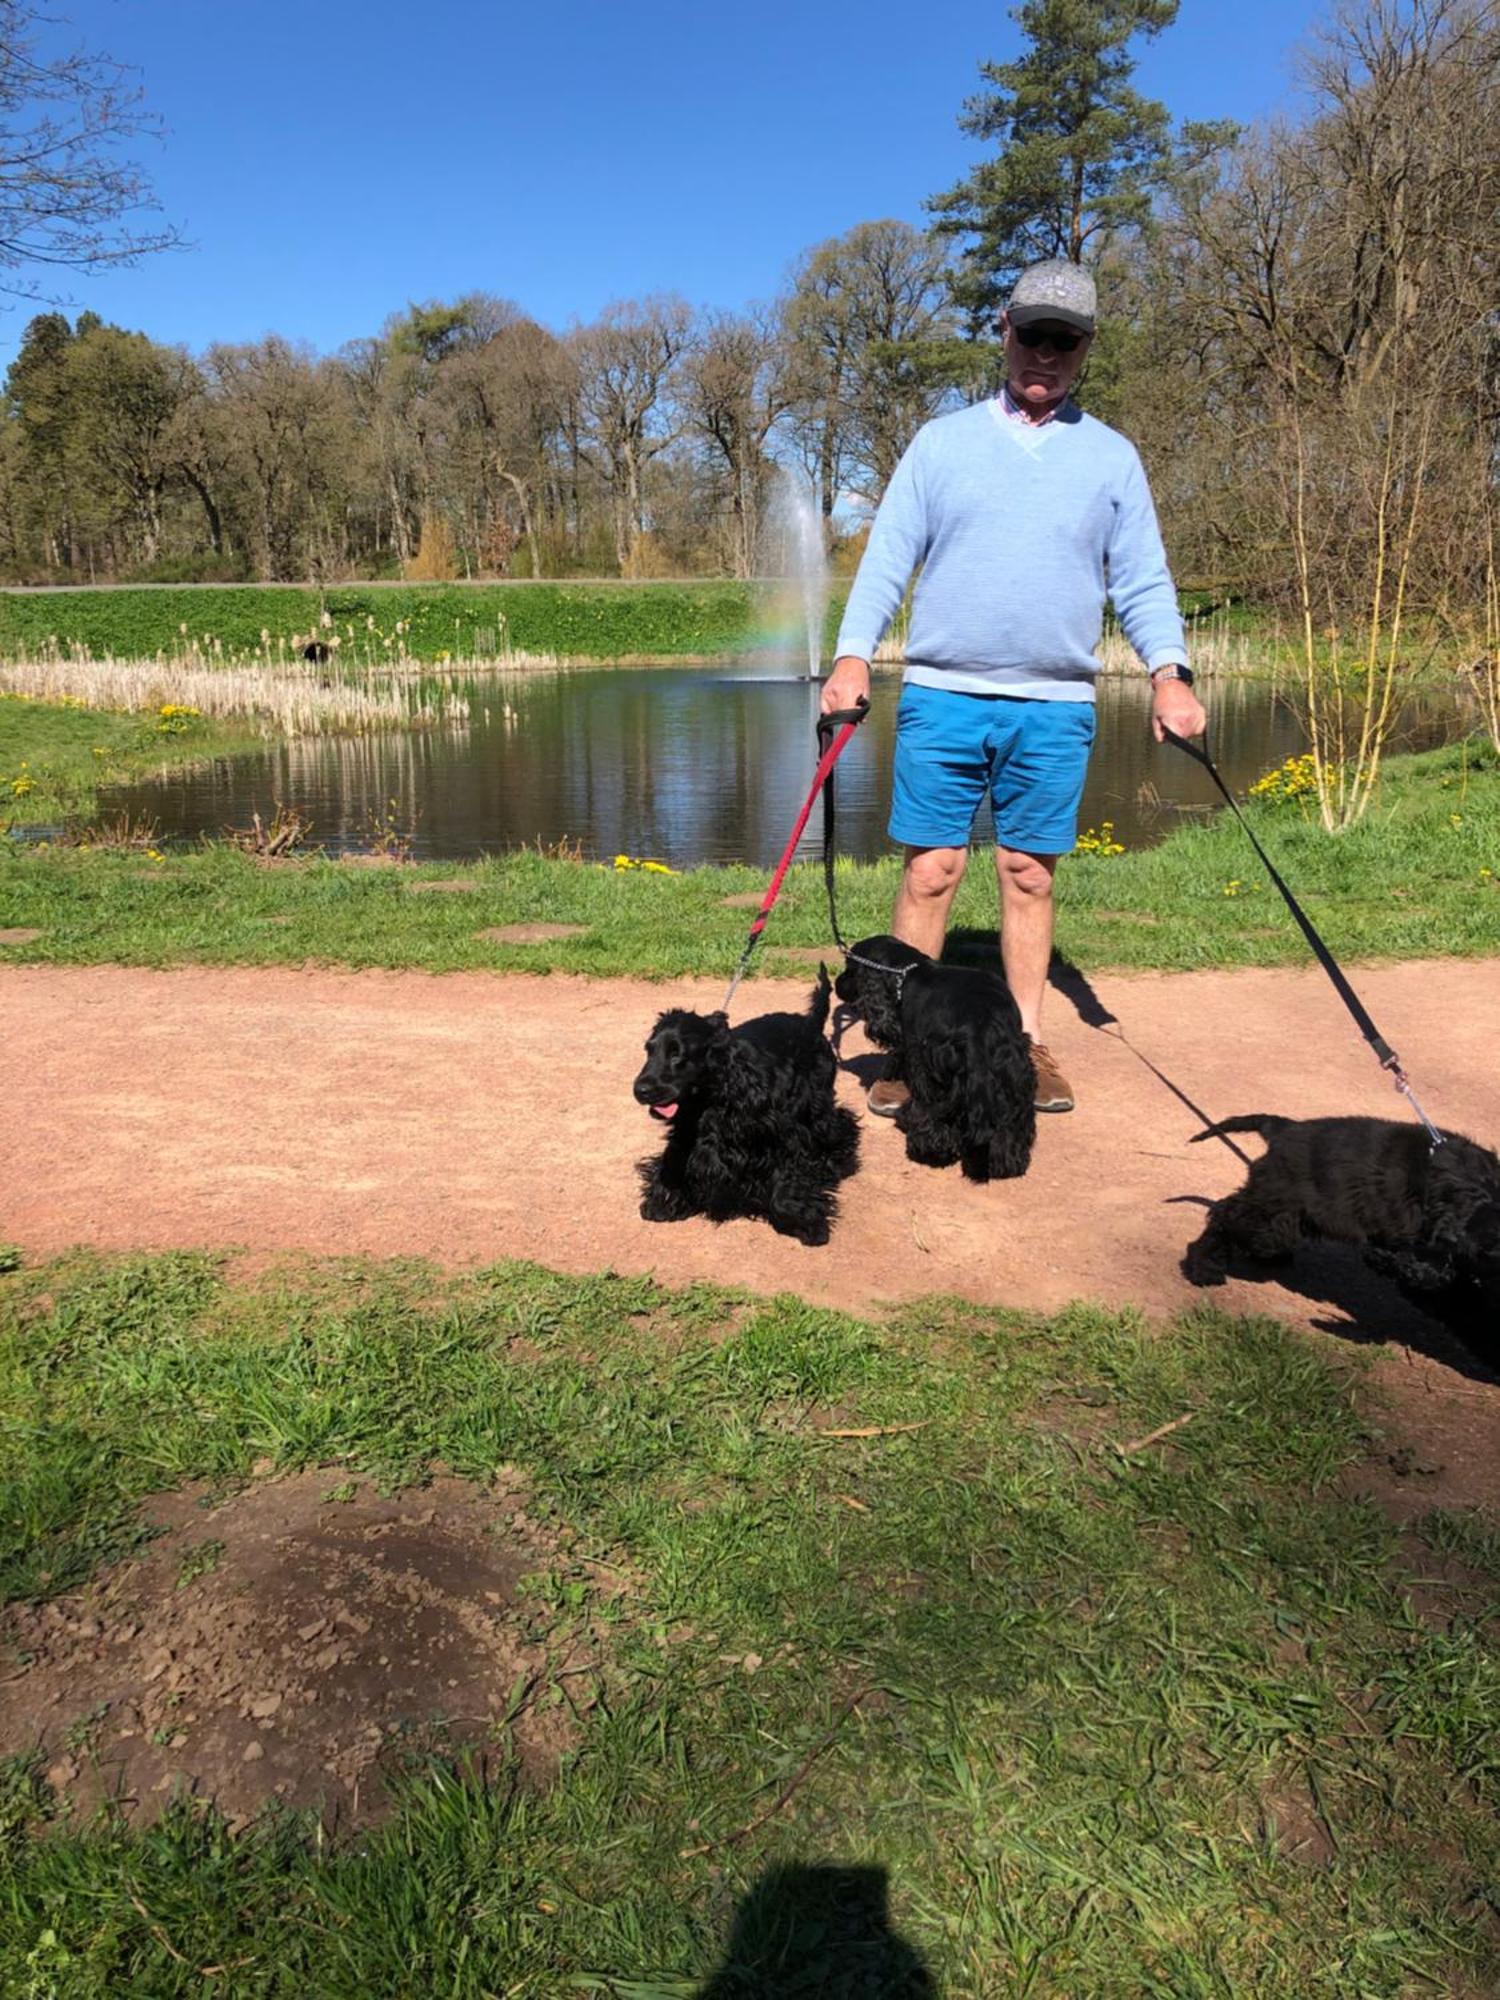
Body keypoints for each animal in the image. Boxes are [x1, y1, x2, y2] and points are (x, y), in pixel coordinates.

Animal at [632, 972, 856, 1248]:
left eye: (677, 1054)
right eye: (649, 1050)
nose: (639, 1090)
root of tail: (811, 1022)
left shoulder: (784, 1135)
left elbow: (787, 1181)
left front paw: (806, 1223)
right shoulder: (687, 1134)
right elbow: (673, 1163)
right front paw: (664, 1200)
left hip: (818, 1105)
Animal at [836, 932, 1032, 1176]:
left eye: (849, 969)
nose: (836, 983)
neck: (907, 972)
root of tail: (978, 1028)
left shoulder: (915, 1051)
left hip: (934, 1070)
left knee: (929, 1111)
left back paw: (927, 1150)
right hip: (1014, 1071)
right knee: (1012, 1121)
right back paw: (1007, 1162)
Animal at [1184, 1112, 1500, 1328]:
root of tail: (1283, 1128)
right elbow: (1428, 1273)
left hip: (1284, 1214)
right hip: (1273, 1205)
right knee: (1225, 1215)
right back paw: (1204, 1268)